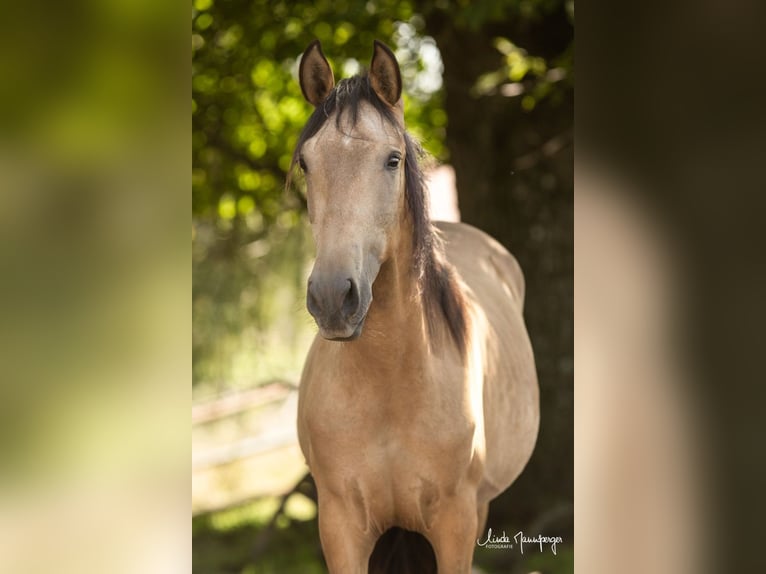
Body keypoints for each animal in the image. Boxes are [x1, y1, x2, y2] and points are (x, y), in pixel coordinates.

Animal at [292, 40, 539, 573]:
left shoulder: (456, 524)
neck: (390, 385)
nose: (332, 298)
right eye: (306, 163)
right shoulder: (340, 528)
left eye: (393, 160)